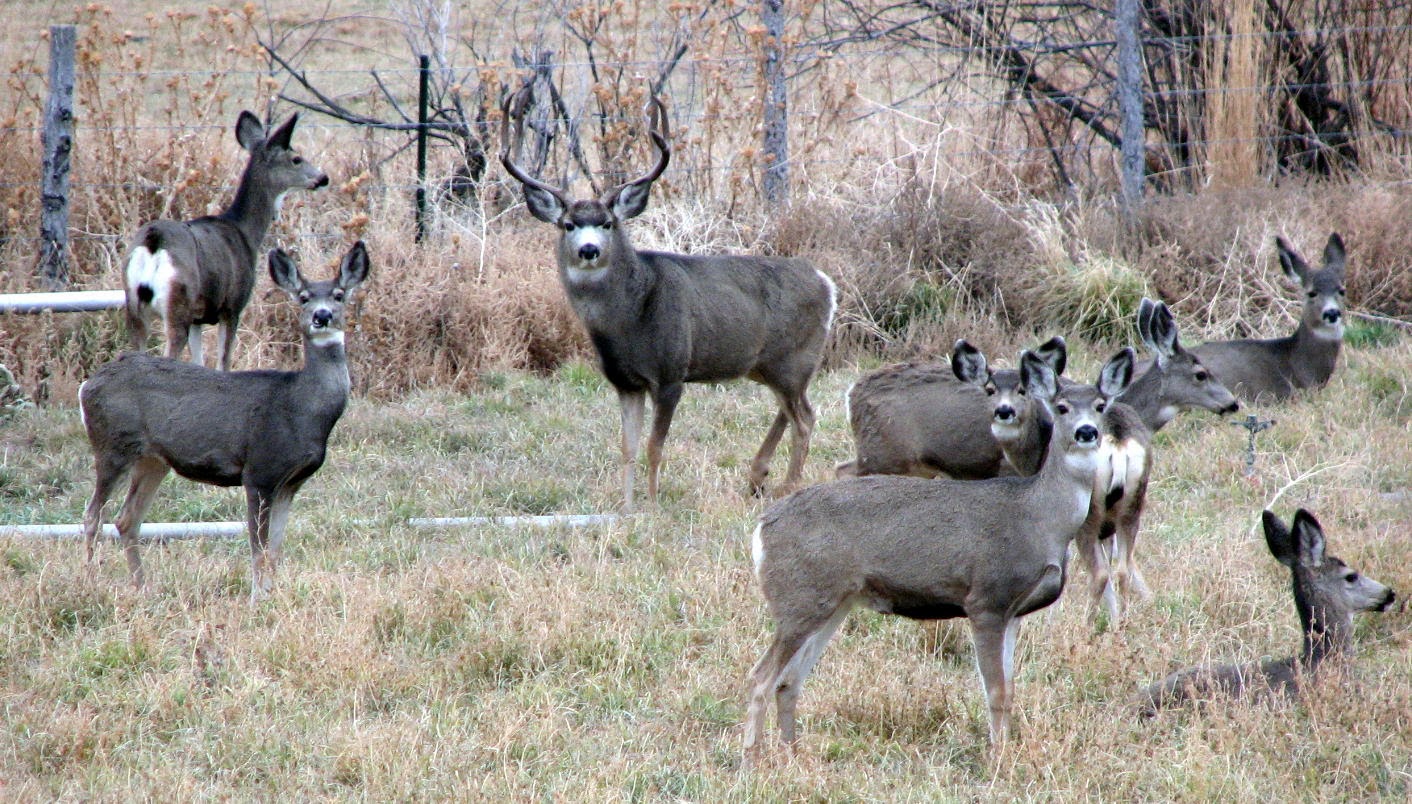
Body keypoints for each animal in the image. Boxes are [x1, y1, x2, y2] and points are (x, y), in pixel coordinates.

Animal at [79, 241, 369, 602]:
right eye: (303, 297)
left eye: (339, 295)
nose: (322, 315)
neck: (300, 407)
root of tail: (87, 384)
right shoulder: (259, 471)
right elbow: (258, 548)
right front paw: (257, 599)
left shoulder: (291, 482)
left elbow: (275, 549)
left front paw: (272, 595)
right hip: (112, 445)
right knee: (93, 514)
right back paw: (90, 580)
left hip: (153, 459)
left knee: (126, 519)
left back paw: (143, 587)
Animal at [124, 110, 330, 370]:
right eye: (296, 159)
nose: (323, 178)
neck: (245, 232)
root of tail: (154, 241)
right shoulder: (232, 307)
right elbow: (223, 363)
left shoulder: (198, 317)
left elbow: (199, 362)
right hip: (178, 302)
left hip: (133, 305)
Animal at [499, 87, 836, 512]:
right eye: (568, 225)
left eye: (608, 223)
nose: (589, 250)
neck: (630, 319)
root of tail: (826, 283)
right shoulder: (625, 381)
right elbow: (627, 447)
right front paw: (627, 507)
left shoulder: (671, 372)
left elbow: (654, 447)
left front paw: (654, 503)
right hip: (769, 364)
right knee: (793, 411)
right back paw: (758, 476)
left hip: (793, 358)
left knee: (805, 417)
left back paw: (788, 487)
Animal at [742, 347, 1138, 761]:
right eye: (1061, 407)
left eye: (1100, 405)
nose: (1086, 432)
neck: (1039, 517)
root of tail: (762, 530)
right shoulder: (986, 599)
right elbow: (995, 691)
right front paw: (997, 759)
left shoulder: (1015, 612)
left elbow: (1010, 690)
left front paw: (1004, 749)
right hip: (799, 599)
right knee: (760, 677)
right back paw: (751, 758)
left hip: (833, 602)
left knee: (789, 680)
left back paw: (792, 753)